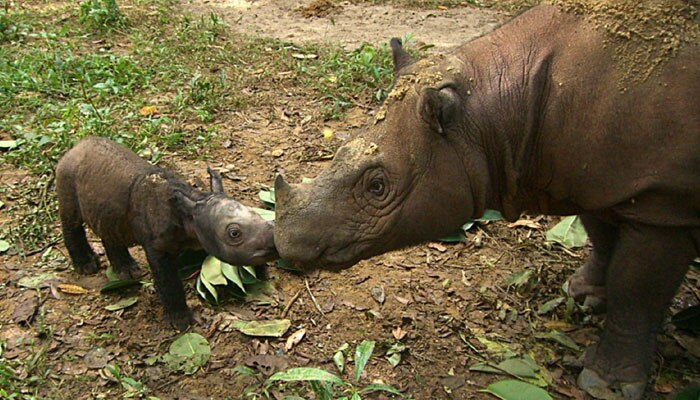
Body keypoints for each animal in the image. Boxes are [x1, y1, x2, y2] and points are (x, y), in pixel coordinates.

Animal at [56, 136, 276, 330]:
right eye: (234, 234)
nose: (273, 243)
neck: (192, 207)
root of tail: (75, 147)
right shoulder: (157, 246)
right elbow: (168, 280)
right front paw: (181, 322)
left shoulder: (200, 233)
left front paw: (258, 273)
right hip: (67, 173)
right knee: (71, 219)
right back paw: (87, 266)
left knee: (109, 225)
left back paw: (127, 271)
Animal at [274, 2, 700, 396]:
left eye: (377, 187)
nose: (286, 242)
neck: (488, 113)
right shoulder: (598, 176)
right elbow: (602, 235)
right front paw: (584, 295)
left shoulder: (664, 201)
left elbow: (636, 289)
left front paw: (604, 384)